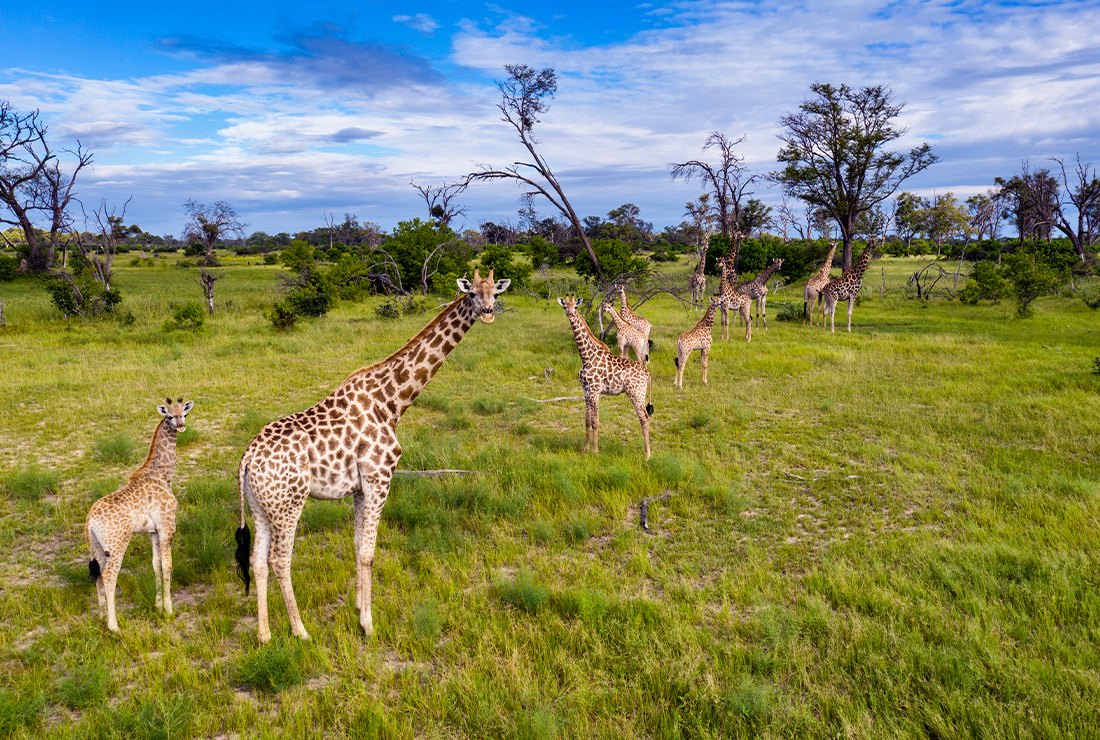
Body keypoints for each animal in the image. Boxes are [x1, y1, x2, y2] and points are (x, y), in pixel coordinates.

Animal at [85, 398, 193, 632]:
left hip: (96, 547)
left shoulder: (153, 531)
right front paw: (169, 610)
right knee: (109, 576)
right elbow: (168, 565)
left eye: (184, 414)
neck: (164, 474)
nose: (181, 426)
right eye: (169, 416)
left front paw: (158, 606)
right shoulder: (168, 527)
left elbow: (156, 565)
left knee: (98, 576)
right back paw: (113, 626)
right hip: (117, 545)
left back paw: (101, 618)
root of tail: (89, 521)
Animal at [234, 269, 510, 643]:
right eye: (471, 294)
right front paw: (368, 623)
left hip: (262, 507)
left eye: (494, 292)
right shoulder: (380, 478)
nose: (488, 313)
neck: (392, 402)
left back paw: (265, 636)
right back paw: (300, 631)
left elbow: (356, 546)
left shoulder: (359, 488)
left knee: (258, 562)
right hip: (289, 504)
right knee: (280, 560)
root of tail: (247, 459)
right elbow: (368, 552)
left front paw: (357, 606)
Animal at [558, 295, 653, 459]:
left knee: (644, 417)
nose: (569, 315)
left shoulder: (594, 390)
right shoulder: (586, 390)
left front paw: (595, 451)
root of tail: (646, 373)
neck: (586, 356)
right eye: (565, 306)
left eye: (575, 307)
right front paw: (585, 449)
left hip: (636, 393)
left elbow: (595, 421)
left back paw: (647, 455)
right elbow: (587, 420)